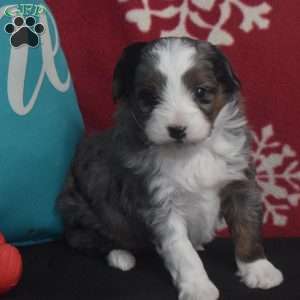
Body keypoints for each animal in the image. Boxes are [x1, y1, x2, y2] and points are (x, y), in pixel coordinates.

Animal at [56, 38, 284, 300]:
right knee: (85, 239)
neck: (191, 152)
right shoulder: (159, 202)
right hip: (83, 211)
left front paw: (259, 269)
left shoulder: (239, 181)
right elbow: (182, 251)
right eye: (149, 96)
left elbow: (247, 226)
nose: (177, 129)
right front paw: (197, 286)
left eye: (200, 92)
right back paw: (120, 256)